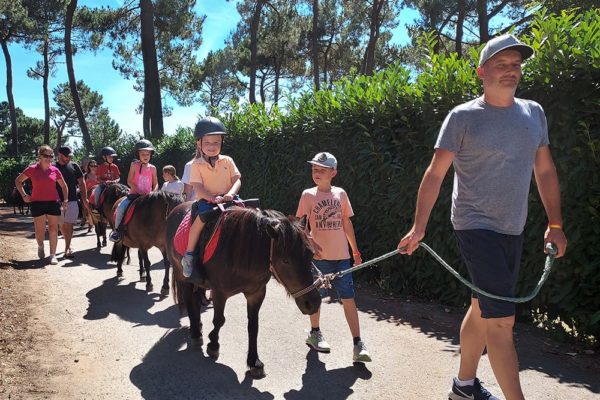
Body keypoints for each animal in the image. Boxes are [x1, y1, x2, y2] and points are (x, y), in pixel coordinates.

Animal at [164, 203, 324, 378]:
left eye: (311, 254)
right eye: (285, 261)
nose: (313, 303)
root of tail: (176, 209)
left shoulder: (256, 293)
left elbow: (253, 326)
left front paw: (254, 362)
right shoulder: (219, 293)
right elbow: (219, 320)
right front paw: (213, 345)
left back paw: (198, 326)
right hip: (182, 276)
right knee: (188, 300)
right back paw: (195, 334)